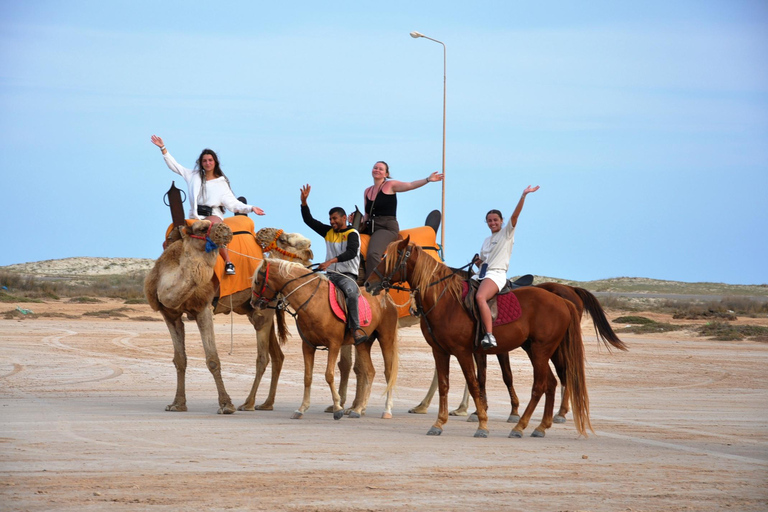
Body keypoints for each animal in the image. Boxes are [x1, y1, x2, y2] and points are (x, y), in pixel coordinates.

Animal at [250, 260, 400, 420]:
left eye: (258, 281)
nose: (253, 303)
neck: (313, 301)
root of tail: (387, 298)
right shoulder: (308, 346)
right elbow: (307, 377)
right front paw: (302, 408)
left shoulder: (334, 345)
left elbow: (329, 375)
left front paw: (338, 408)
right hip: (363, 344)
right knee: (370, 372)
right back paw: (359, 409)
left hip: (386, 339)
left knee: (388, 372)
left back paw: (387, 410)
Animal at [366, 238, 592, 438]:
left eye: (392, 257)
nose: (368, 283)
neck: (445, 302)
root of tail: (562, 301)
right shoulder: (440, 351)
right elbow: (444, 385)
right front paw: (439, 423)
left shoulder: (463, 352)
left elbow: (474, 384)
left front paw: (482, 424)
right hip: (538, 351)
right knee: (551, 384)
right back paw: (541, 427)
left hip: (541, 351)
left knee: (540, 386)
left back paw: (520, 427)